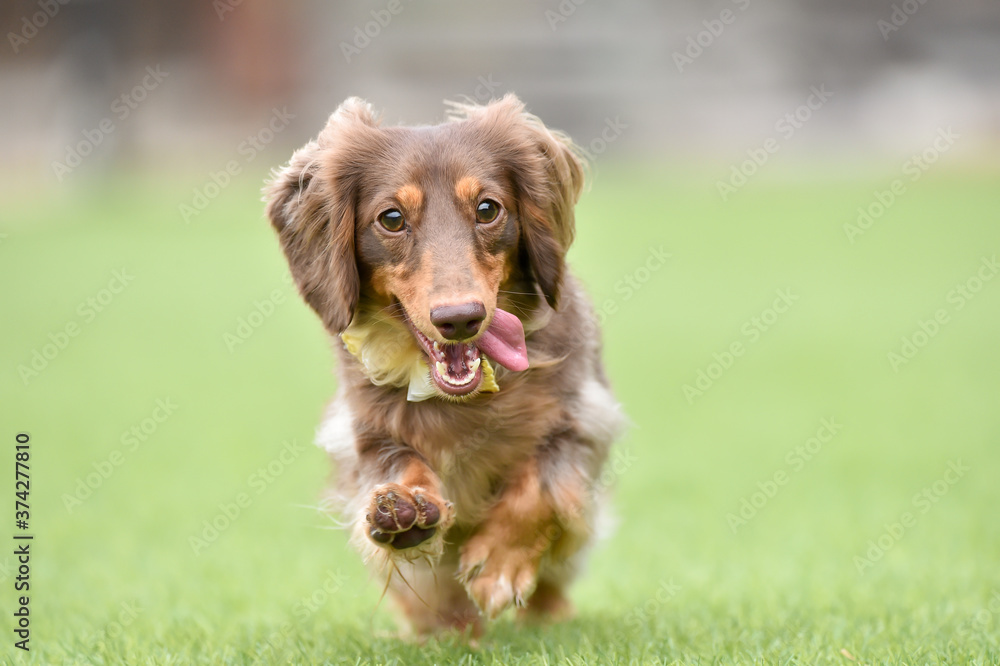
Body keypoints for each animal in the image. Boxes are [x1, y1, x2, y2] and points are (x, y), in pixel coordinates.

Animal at [266, 93, 624, 632]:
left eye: (488, 209)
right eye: (391, 218)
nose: (460, 319)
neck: (467, 401)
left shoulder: (582, 419)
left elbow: (538, 487)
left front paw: (498, 564)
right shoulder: (363, 431)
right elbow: (399, 461)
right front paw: (407, 509)